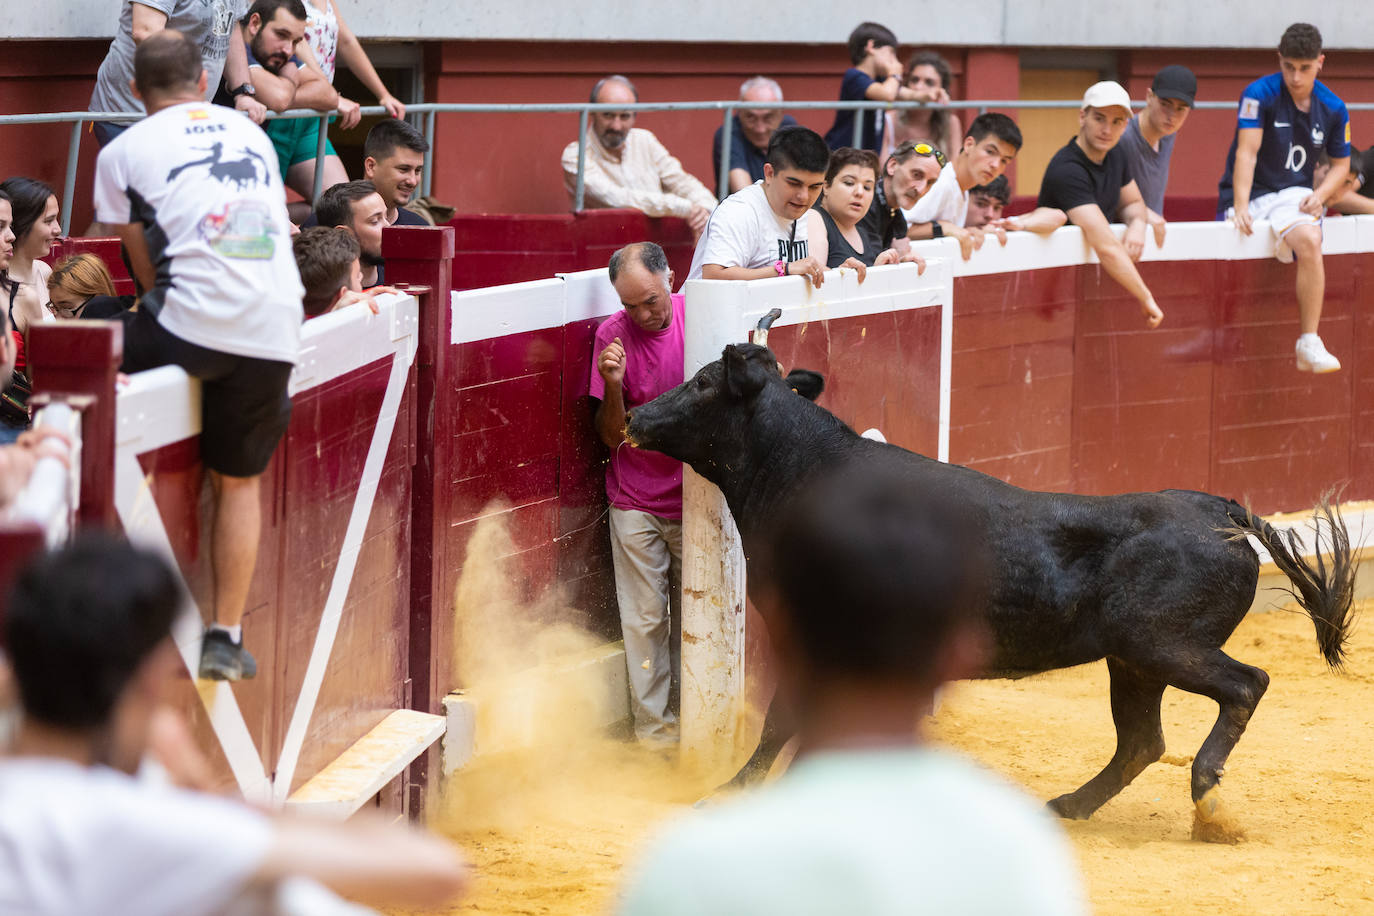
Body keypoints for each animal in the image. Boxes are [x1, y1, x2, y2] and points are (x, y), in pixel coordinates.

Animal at [629, 341, 1357, 840]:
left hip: (1159, 644)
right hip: (1132, 661)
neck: (802, 467)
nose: (635, 413)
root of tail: (1219, 508)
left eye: (702, 382)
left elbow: (782, 717)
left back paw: (1208, 801)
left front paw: (729, 792)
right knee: (1141, 741)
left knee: (1245, 685)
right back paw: (1067, 806)